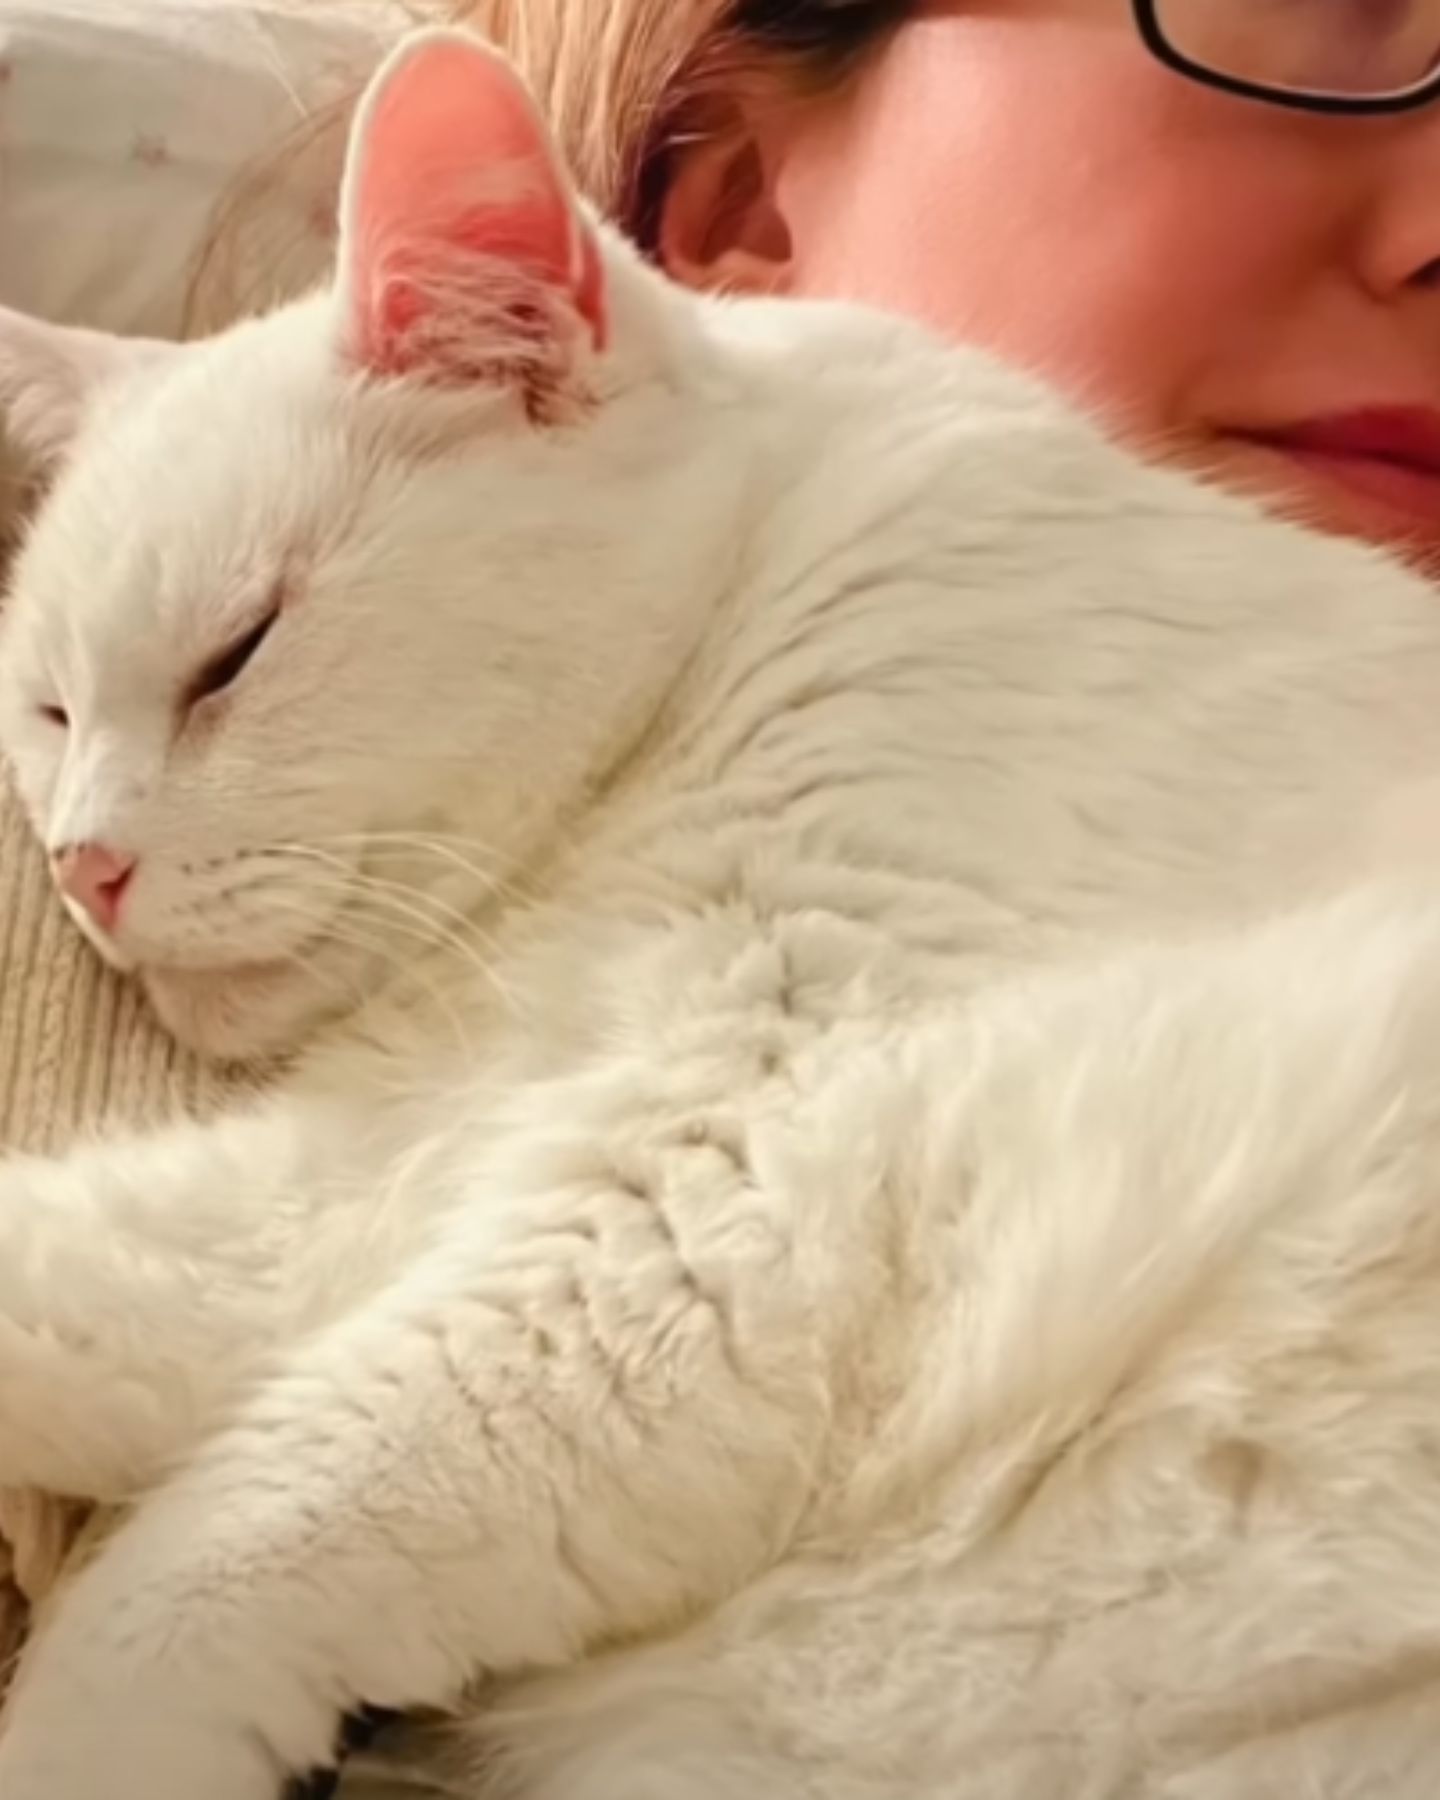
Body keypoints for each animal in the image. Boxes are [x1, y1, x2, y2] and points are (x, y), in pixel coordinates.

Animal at [0, 28, 1440, 1800]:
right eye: (50, 713)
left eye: (235, 655)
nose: (84, 864)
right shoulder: (387, 1159)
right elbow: (103, 1278)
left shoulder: (743, 1197)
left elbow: (216, 1557)